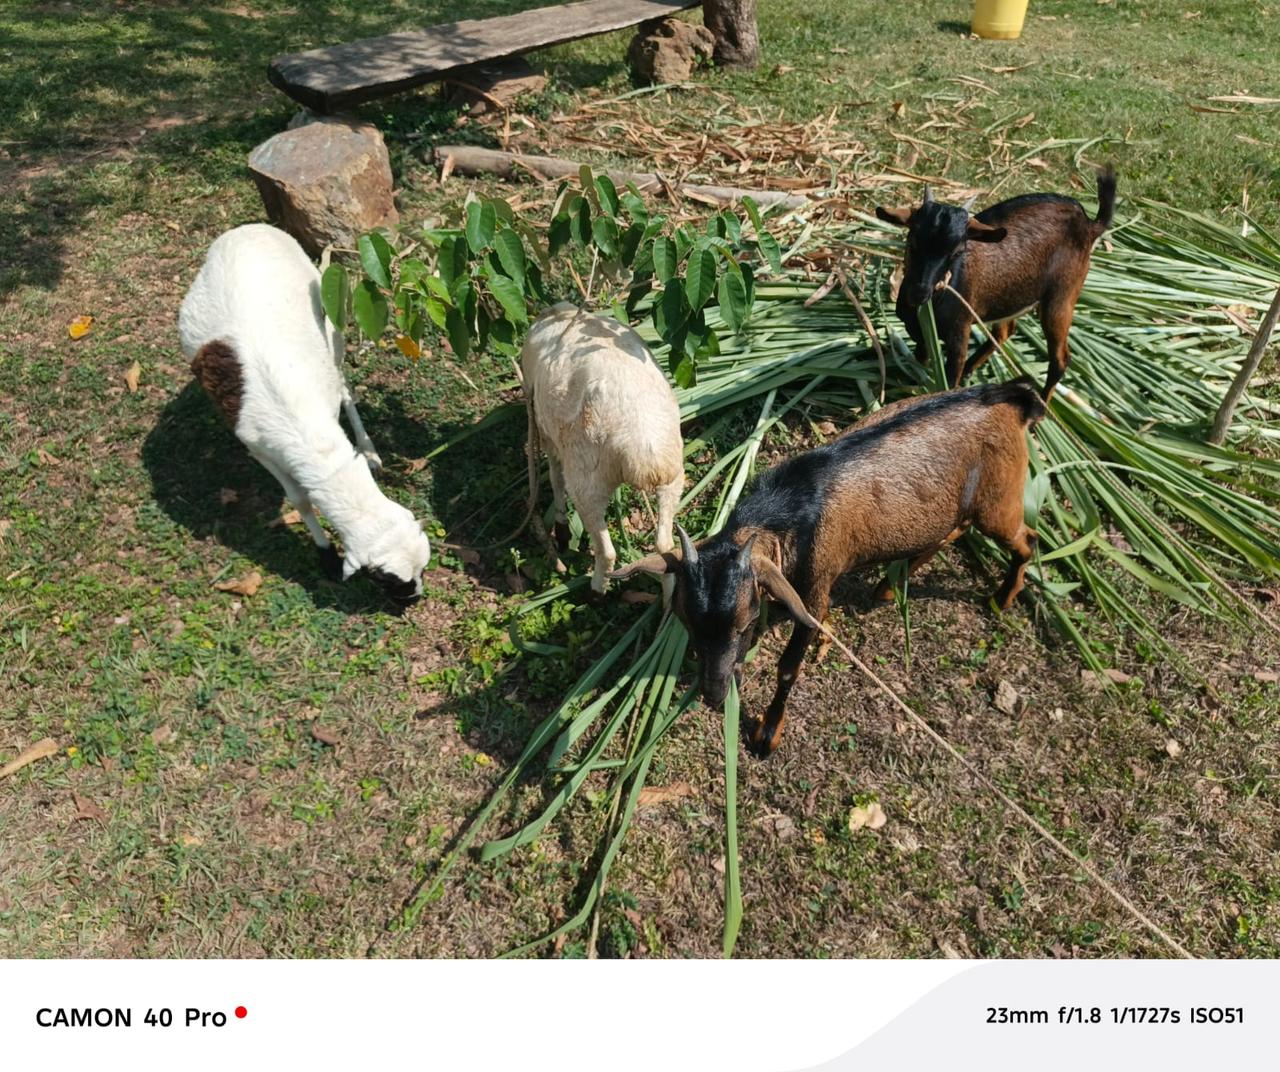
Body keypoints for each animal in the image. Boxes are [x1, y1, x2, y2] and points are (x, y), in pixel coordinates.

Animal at [178, 223, 431, 603]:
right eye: (385, 580)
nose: (414, 597)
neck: (304, 429)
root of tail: (244, 230)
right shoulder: (260, 448)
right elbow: (299, 497)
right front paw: (325, 553)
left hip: (329, 315)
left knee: (344, 383)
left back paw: (369, 450)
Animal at [514, 302, 684, 602]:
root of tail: (645, 452)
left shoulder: (549, 439)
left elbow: (556, 478)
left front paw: (561, 530)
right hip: (673, 477)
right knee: (664, 545)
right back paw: (667, 602)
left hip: (588, 481)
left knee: (607, 551)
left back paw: (595, 594)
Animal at [612, 380, 1045, 757]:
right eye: (685, 620)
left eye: (744, 620)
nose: (714, 695)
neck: (793, 507)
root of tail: (1013, 398)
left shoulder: (815, 588)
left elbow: (788, 667)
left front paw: (767, 735)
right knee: (956, 528)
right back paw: (888, 587)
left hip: (1000, 499)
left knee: (1027, 537)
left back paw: (1003, 597)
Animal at [876, 167, 1116, 399]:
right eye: (912, 240)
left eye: (957, 252)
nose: (919, 293)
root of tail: (1088, 222)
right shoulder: (920, 333)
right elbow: (920, 364)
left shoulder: (958, 337)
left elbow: (948, 381)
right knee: (1005, 331)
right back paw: (972, 371)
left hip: (1062, 296)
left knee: (1060, 360)